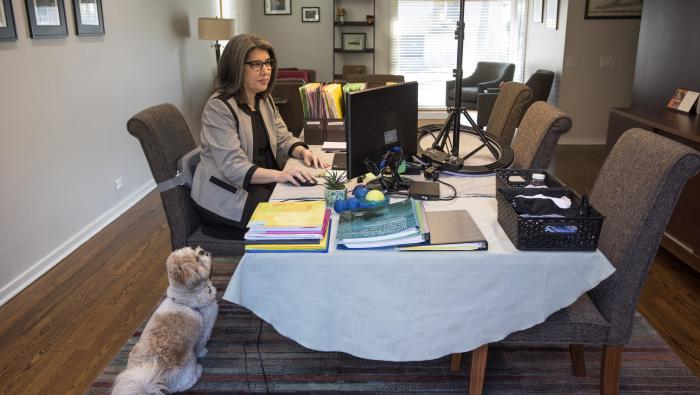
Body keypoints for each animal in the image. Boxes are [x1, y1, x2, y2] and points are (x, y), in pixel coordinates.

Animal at [112, 246, 217, 394]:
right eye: (197, 259)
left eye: (194, 250)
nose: (202, 251)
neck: (185, 299)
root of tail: (155, 378)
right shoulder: (206, 326)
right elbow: (201, 344)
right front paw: (203, 352)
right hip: (186, 371)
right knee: (189, 381)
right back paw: (199, 370)